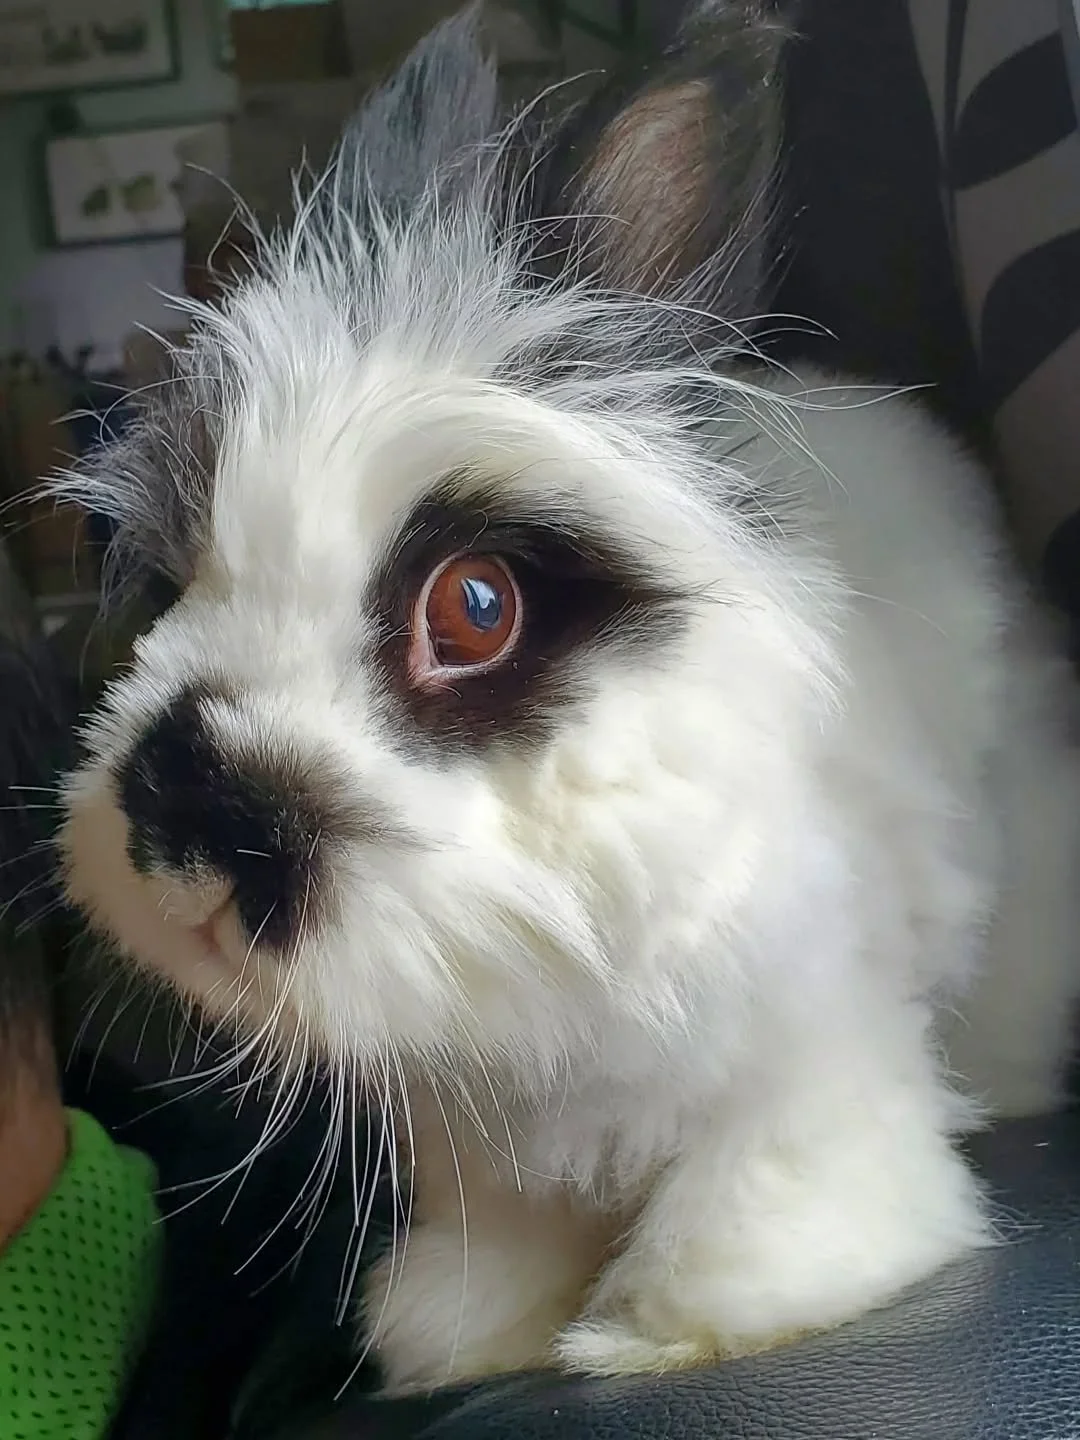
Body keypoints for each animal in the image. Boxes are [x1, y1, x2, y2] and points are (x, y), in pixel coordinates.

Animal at [52, 0, 1080, 1392]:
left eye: (475, 608)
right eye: (165, 589)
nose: (188, 821)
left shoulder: (805, 1046)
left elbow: (768, 1177)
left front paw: (689, 1318)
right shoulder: (483, 1141)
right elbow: (512, 1230)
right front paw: (469, 1331)